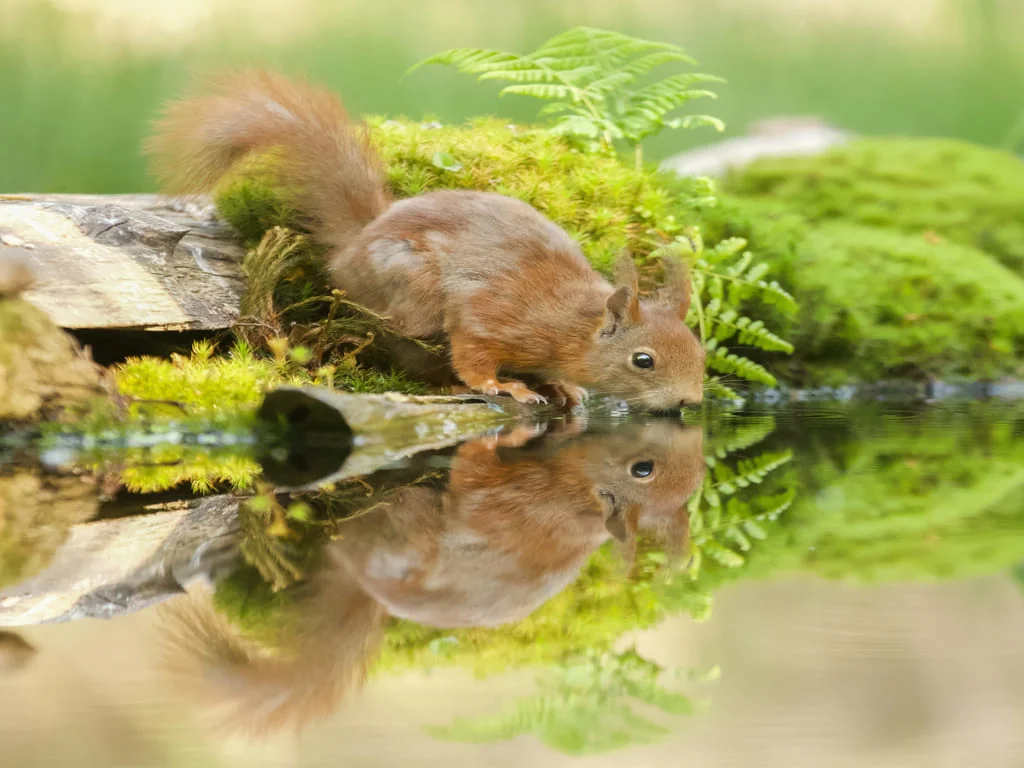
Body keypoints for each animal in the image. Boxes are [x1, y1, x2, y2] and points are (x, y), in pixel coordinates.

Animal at [146, 71, 704, 409]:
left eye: (699, 350)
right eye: (643, 360)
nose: (691, 402)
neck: (570, 324)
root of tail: (357, 244)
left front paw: (567, 387)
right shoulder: (491, 316)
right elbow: (474, 353)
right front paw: (503, 386)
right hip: (411, 294)